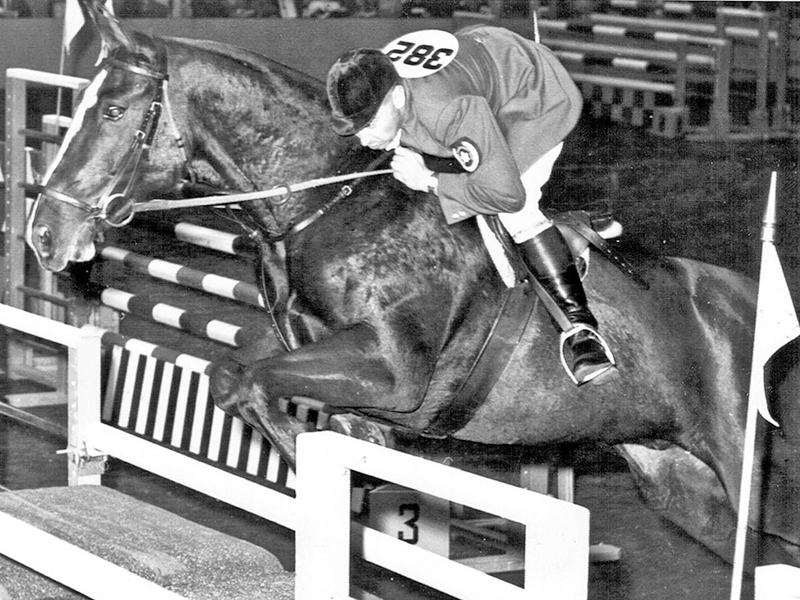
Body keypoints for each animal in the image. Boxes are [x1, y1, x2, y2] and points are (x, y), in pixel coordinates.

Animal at [25, 1, 800, 570]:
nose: (44, 235)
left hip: (741, 460)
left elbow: (245, 379)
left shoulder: (394, 369)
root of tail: (749, 307)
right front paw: (355, 455)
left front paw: (339, 467)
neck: (326, 201)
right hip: (679, 482)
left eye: (114, 113)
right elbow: (244, 376)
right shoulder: (318, 349)